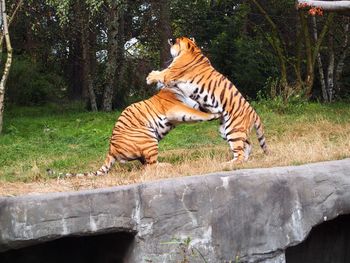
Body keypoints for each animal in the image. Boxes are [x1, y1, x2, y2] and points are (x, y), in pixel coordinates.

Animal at [65, 86, 219, 177]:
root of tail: (111, 150)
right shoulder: (176, 109)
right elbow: (195, 113)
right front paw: (213, 115)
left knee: (146, 164)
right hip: (148, 137)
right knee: (150, 167)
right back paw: (168, 165)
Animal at [146, 36, 268, 164]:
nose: (170, 39)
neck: (192, 49)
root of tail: (254, 112)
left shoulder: (169, 73)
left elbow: (161, 74)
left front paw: (150, 77)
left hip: (234, 130)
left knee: (239, 153)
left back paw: (227, 164)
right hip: (225, 131)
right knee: (247, 145)